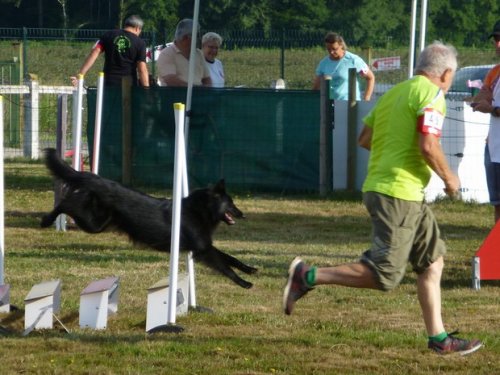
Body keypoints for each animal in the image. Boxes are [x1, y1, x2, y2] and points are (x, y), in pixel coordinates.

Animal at [40, 148, 256, 290]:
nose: (243, 214)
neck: (200, 210)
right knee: (66, 203)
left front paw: (249, 269)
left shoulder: (204, 246)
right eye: (231, 204)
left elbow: (231, 258)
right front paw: (243, 282)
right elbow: (225, 266)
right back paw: (46, 220)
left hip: (98, 222)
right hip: (93, 224)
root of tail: (98, 179)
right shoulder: (204, 250)